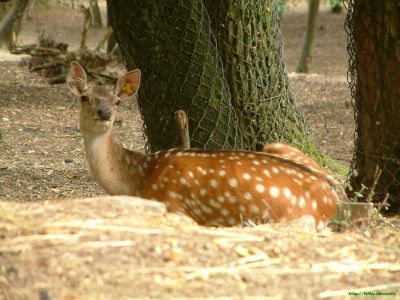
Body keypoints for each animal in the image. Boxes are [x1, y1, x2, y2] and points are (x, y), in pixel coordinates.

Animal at [67, 61, 340, 230]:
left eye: (117, 102)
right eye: (84, 98)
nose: (104, 113)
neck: (139, 180)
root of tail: (332, 199)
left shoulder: (173, 206)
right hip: (277, 145)